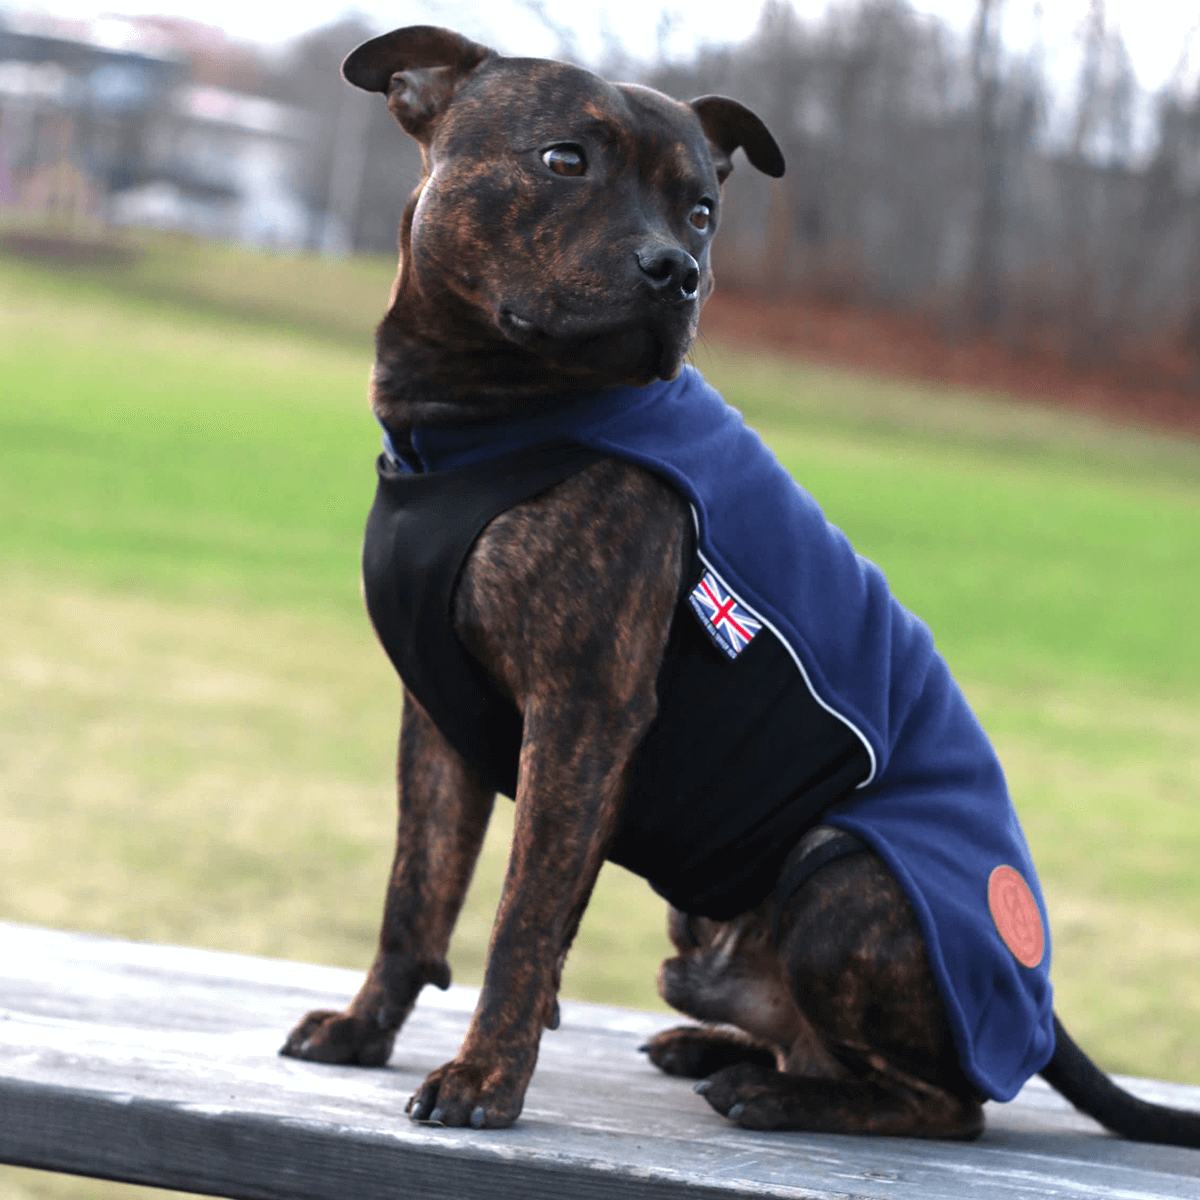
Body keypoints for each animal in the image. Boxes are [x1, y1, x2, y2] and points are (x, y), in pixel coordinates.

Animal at [283, 21, 1200, 1142]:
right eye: (563, 160)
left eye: (703, 212)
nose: (675, 269)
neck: (479, 424)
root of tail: (1041, 1013)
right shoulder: (438, 727)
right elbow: (416, 897)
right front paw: (365, 1028)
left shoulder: (582, 715)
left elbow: (522, 921)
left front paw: (484, 1077)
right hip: (702, 942)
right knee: (812, 1040)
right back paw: (719, 1049)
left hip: (838, 875)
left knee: (947, 1104)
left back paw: (774, 1094)